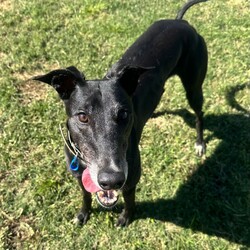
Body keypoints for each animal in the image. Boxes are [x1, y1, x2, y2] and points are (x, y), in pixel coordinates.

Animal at [32, 0, 208, 227]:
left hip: (194, 85)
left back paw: (200, 143)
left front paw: (125, 217)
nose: (111, 180)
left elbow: (129, 198)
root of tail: (182, 23)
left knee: (199, 113)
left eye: (124, 114)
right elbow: (85, 195)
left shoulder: (132, 177)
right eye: (82, 116)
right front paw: (83, 213)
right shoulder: (79, 175)